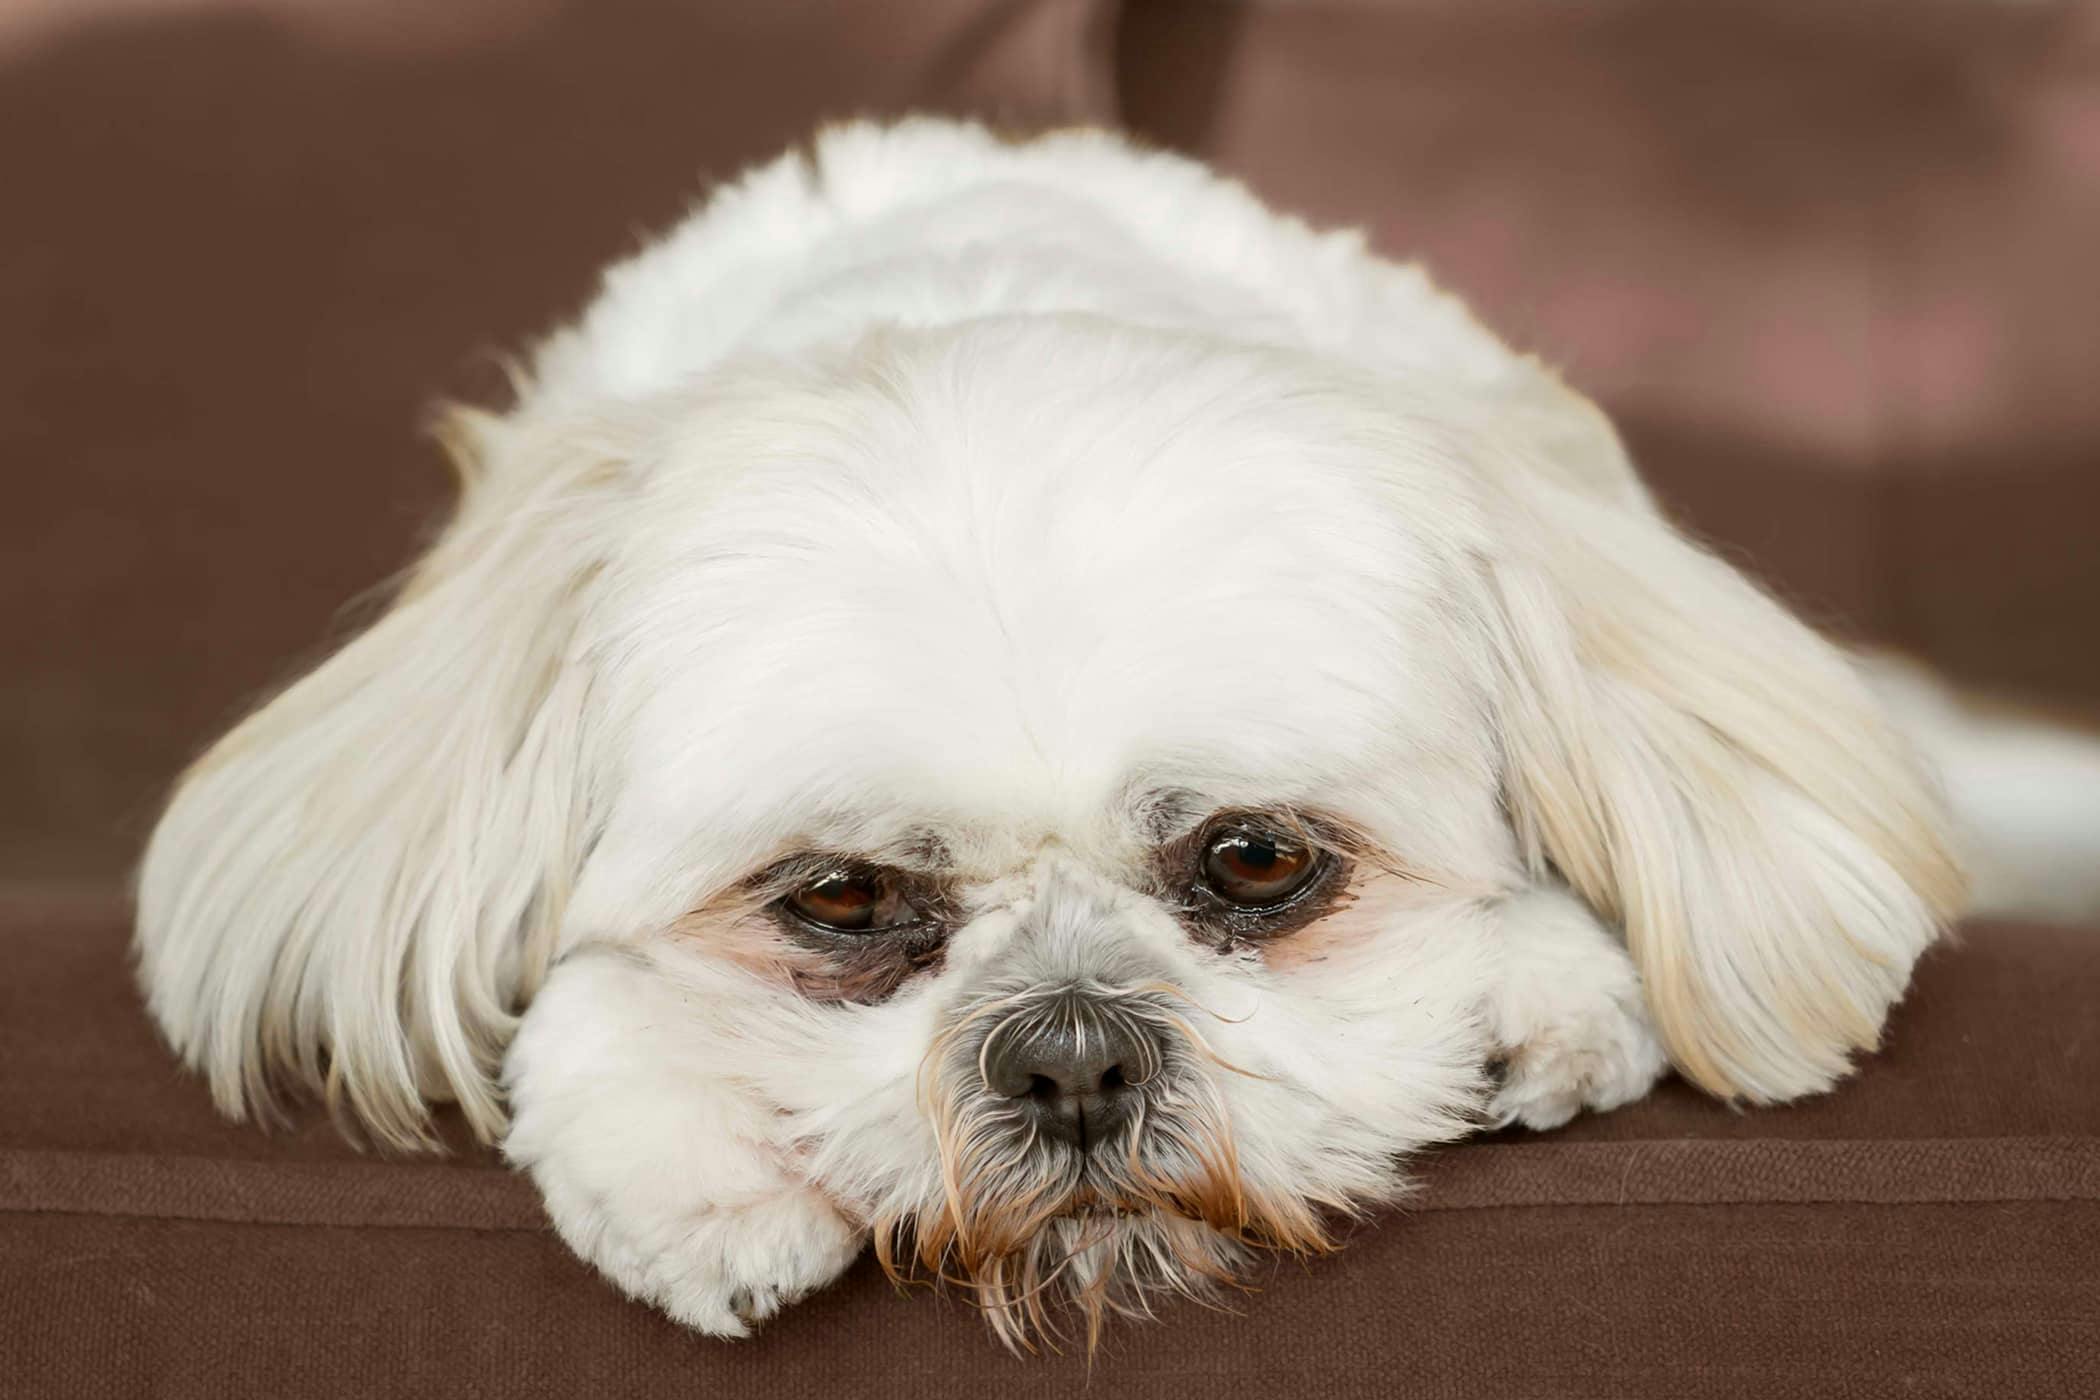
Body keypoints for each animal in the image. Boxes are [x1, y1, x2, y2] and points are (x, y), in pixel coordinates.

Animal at [135, 123, 2100, 1360]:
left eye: (1257, 858)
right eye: (838, 899)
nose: (1072, 1055)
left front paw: (1543, 997)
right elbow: (581, 1005)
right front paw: (702, 1177)